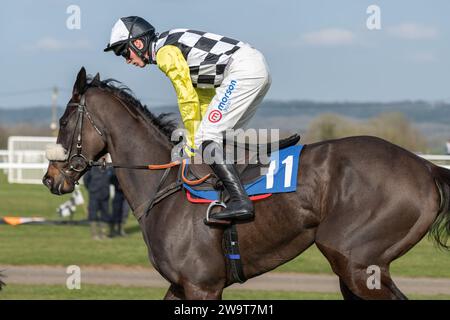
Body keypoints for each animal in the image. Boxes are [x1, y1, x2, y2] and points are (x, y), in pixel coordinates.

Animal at [43, 68, 450, 300]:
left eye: (63, 121)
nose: (51, 177)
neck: (163, 186)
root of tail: (425, 167)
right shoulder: (180, 286)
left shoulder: (202, 286)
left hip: (356, 263)